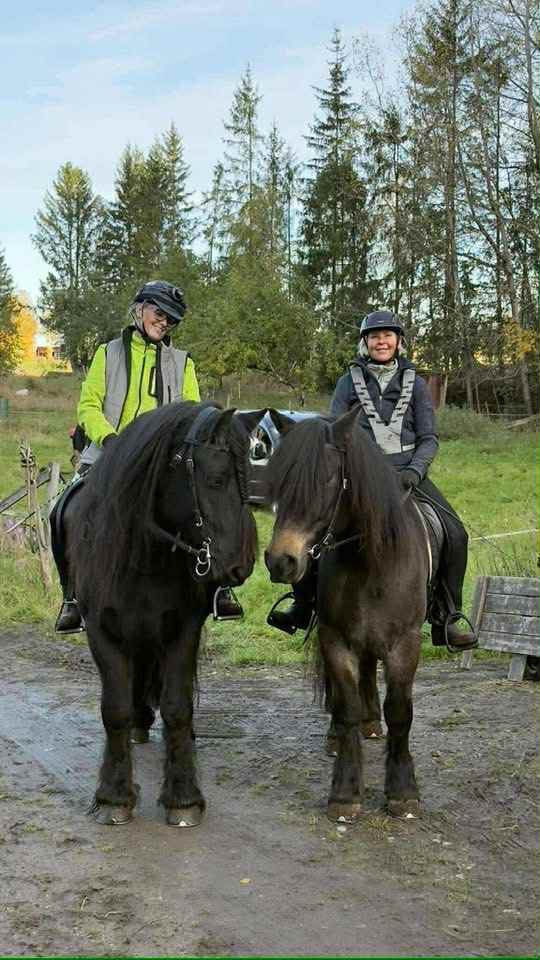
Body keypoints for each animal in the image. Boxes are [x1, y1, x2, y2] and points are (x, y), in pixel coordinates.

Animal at [64, 401, 263, 827]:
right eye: (217, 479)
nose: (242, 564)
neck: (143, 555)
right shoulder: (103, 633)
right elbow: (115, 710)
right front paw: (114, 797)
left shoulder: (181, 632)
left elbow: (176, 708)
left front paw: (183, 797)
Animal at [265, 406, 440, 823]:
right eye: (280, 480)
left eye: (327, 479)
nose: (280, 561)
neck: (370, 561)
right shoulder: (336, 639)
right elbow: (345, 709)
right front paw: (345, 792)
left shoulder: (405, 643)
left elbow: (400, 712)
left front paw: (403, 792)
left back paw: (372, 722)